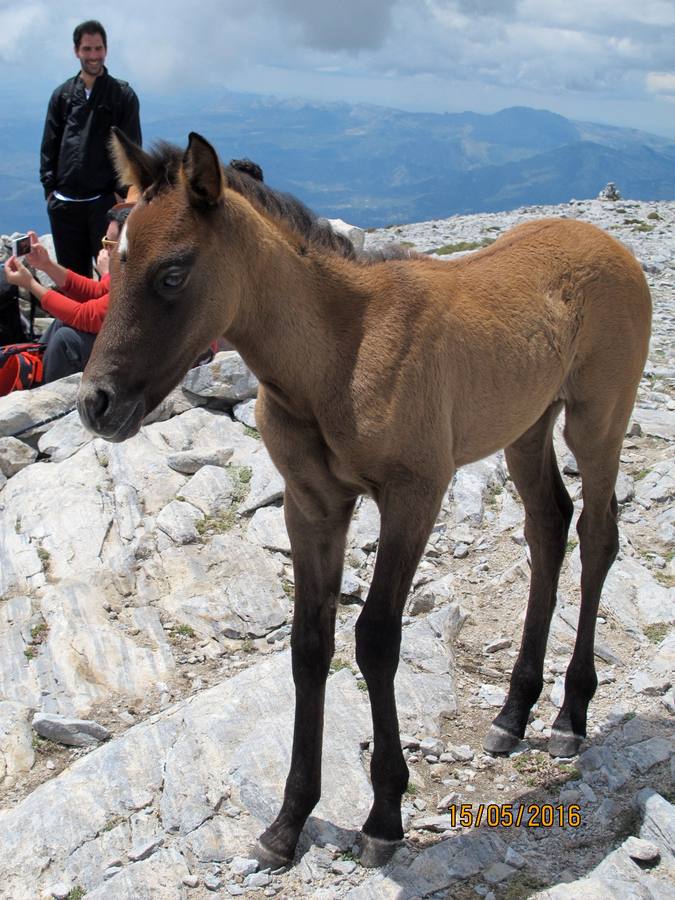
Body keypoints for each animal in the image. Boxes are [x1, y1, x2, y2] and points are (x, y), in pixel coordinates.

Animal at [76, 130, 652, 868]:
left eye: (173, 272)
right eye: (110, 264)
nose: (97, 404)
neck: (337, 354)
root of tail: (611, 246)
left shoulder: (414, 495)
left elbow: (375, 639)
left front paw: (383, 815)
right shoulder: (311, 505)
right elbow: (308, 644)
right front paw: (287, 822)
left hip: (597, 416)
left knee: (598, 535)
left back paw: (570, 714)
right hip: (526, 427)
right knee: (548, 526)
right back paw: (511, 714)